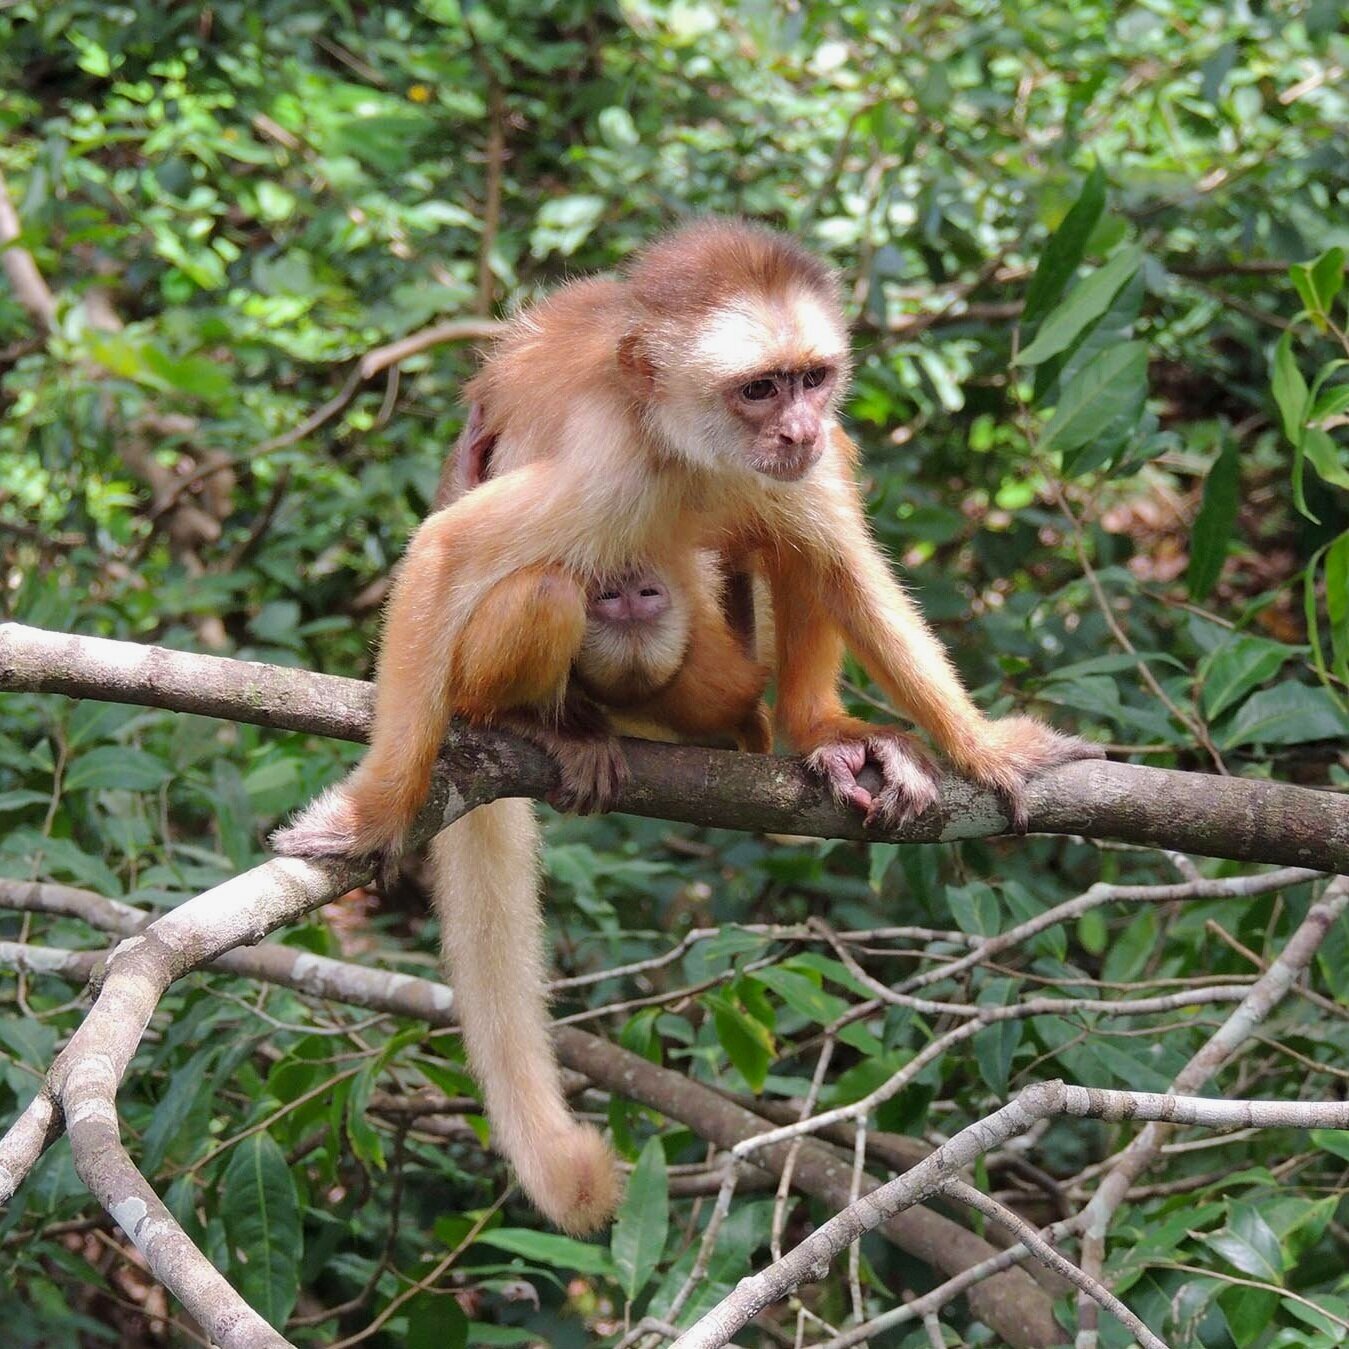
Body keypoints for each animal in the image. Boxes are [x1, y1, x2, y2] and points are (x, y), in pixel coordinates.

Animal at [276, 213, 1106, 1235]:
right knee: (541, 586)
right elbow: (444, 554)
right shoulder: (608, 458)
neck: (686, 446)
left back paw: (816, 729)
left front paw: (985, 749)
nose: (796, 425)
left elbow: (842, 562)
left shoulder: (790, 461)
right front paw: (377, 816)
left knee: (808, 520)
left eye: (809, 378)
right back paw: (544, 723)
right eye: (758, 389)